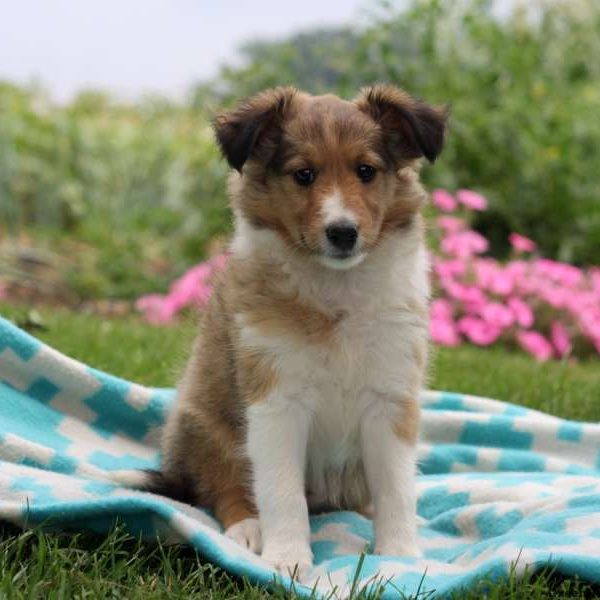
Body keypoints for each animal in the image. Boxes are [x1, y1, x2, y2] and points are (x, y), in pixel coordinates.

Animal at [145, 84, 446, 576]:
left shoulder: (390, 397)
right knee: (225, 487)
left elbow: (396, 488)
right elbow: (282, 493)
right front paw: (288, 559)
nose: (343, 233)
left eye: (366, 171)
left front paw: (401, 556)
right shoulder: (277, 400)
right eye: (303, 174)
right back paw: (248, 529)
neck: (336, 290)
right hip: (207, 426)